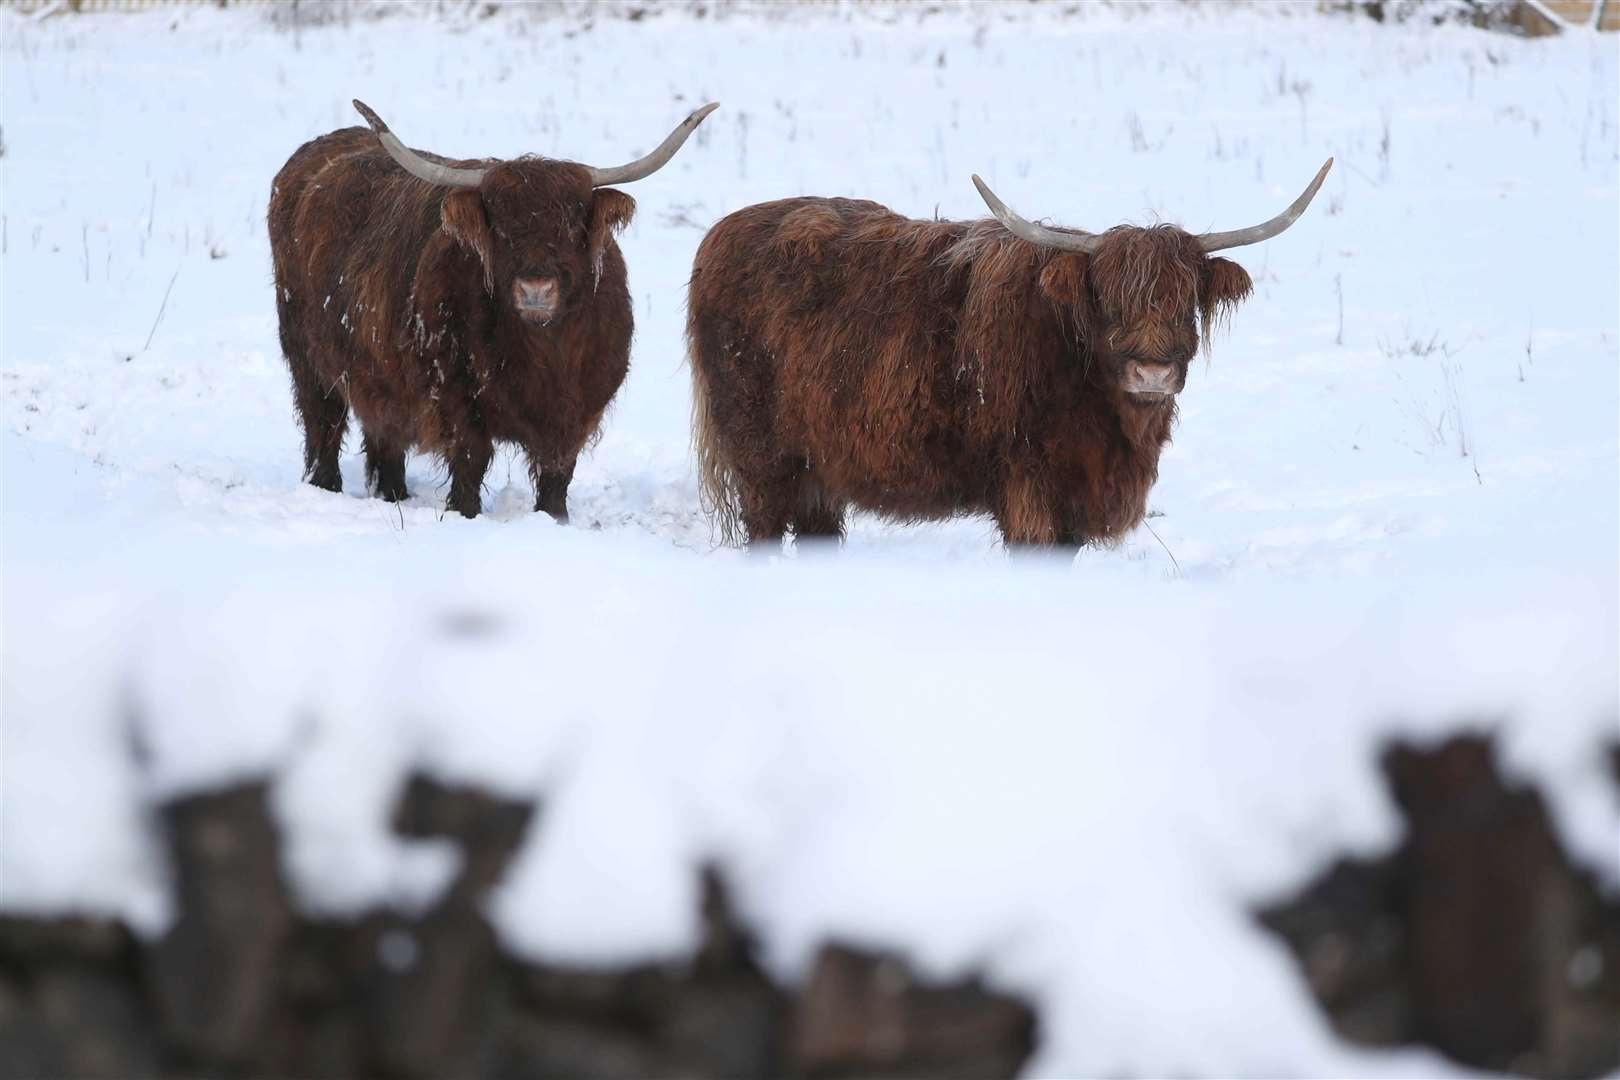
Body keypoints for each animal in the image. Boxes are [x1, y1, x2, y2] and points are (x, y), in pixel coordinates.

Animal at [270, 100, 716, 518]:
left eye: (573, 224)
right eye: (500, 226)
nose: (536, 288)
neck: (542, 350)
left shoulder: (576, 409)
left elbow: (557, 473)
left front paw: (554, 519)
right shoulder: (456, 393)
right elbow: (471, 460)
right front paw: (463, 513)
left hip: (378, 375)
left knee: (384, 432)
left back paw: (395, 494)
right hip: (307, 356)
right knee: (323, 421)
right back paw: (326, 486)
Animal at [683, 159, 1328, 553]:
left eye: (1185, 301)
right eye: (1107, 300)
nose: (1152, 371)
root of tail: (723, 232)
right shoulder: (1030, 496)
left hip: (821, 472)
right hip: (763, 463)